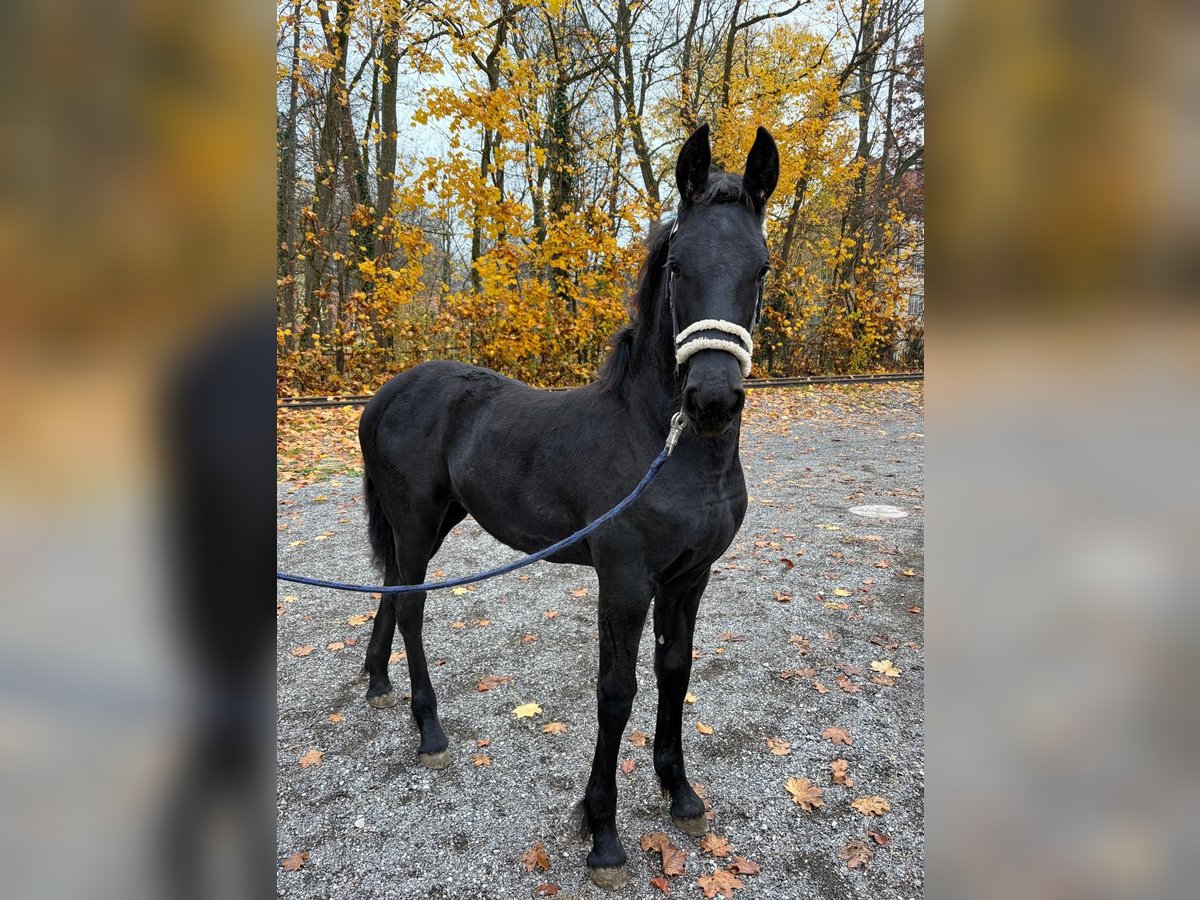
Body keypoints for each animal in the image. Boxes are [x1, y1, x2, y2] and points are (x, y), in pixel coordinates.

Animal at [357, 124, 779, 889]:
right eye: (678, 267)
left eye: (760, 269)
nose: (711, 400)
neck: (667, 448)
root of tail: (389, 393)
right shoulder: (625, 582)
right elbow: (616, 693)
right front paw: (602, 834)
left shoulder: (689, 578)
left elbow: (675, 674)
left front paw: (680, 794)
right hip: (415, 521)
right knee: (410, 609)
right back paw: (429, 730)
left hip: (433, 522)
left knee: (391, 589)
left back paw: (378, 686)